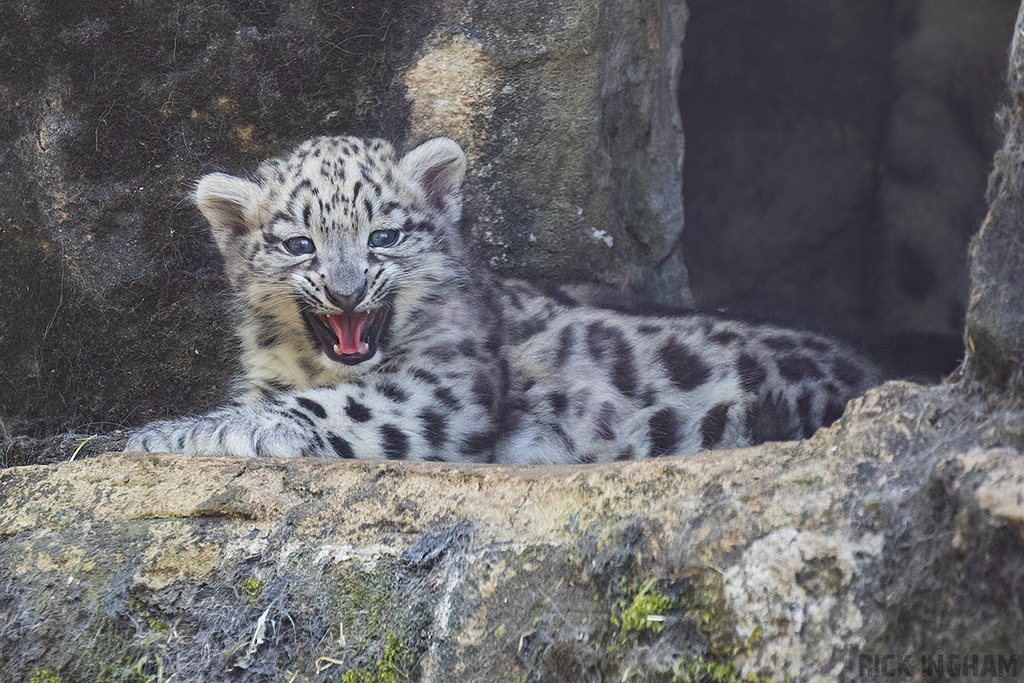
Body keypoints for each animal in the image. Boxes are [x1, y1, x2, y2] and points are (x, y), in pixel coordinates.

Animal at [126, 135, 879, 463]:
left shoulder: (442, 391)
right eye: (298, 244)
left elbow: (333, 404)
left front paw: (179, 430)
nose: (346, 289)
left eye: (384, 235)